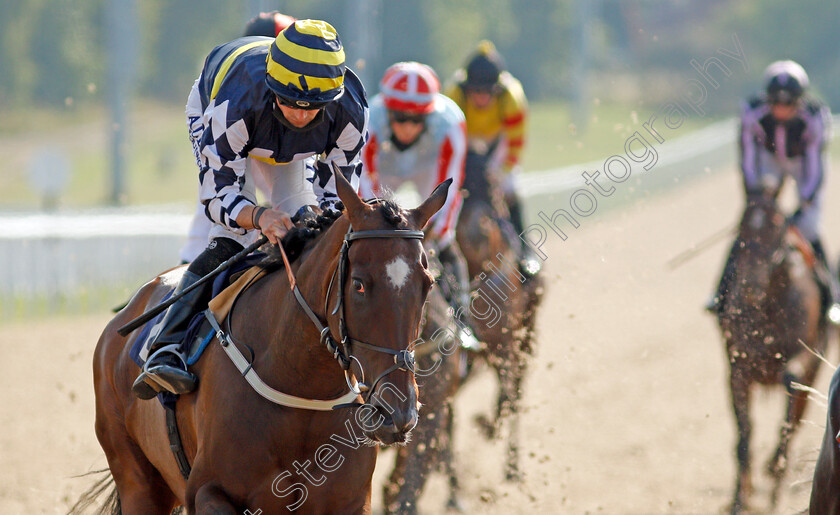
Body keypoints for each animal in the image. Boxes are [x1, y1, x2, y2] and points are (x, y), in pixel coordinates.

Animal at [81, 173, 452, 515]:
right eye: (359, 284)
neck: (300, 385)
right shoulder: (207, 491)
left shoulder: (352, 500)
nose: (397, 411)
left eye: (428, 284)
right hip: (137, 481)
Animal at [716, 195, 828, 515]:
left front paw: (774, 478)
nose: (751, 285)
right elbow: (744, 436)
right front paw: (739, 500)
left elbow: (789, 403)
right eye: (741, 228)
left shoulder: (803, 360)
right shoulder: (737, 371)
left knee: (796, 416)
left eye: (779, 227)